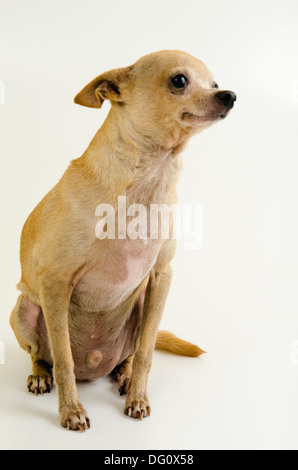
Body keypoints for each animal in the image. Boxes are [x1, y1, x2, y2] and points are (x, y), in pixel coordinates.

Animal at [9, 50, 236, 430]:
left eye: (215, 83)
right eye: (179, 81)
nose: (229, 96)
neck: (149, 180)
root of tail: (95, 367)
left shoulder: (161, 275)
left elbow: (146, 353)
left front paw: (138, 397)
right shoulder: (55, 283)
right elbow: (63, 358)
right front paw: (71, 410)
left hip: (143, 304)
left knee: (133, 352)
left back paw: (125, 375)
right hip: (23, 311)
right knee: (43, 354)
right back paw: (41, 375)